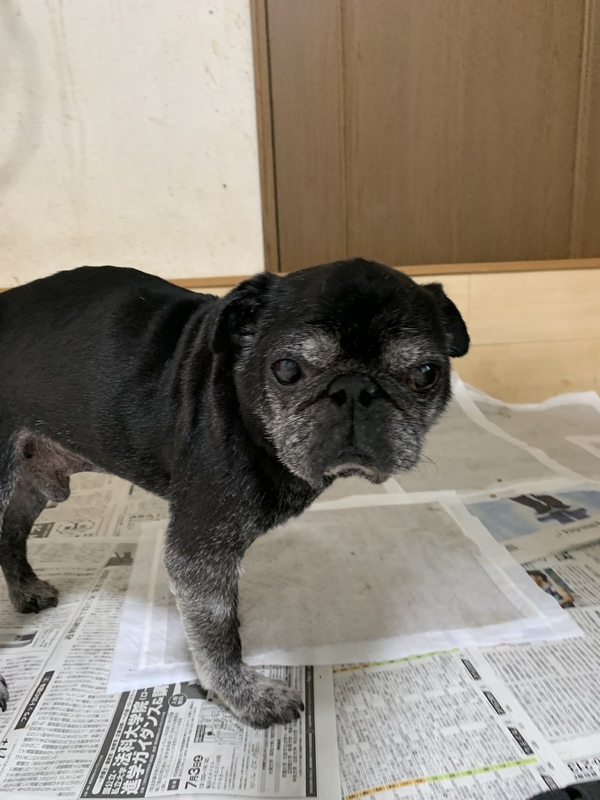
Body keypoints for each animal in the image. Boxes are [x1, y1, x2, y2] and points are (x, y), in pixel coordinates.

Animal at [0, 257, 469, 728]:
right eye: (287, 369)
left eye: (426, 374)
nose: (355, 389)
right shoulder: (199, 550)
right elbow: (216, 636)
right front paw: (241, 693)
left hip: (27, 484)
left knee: (10, 534)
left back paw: (25, 590)